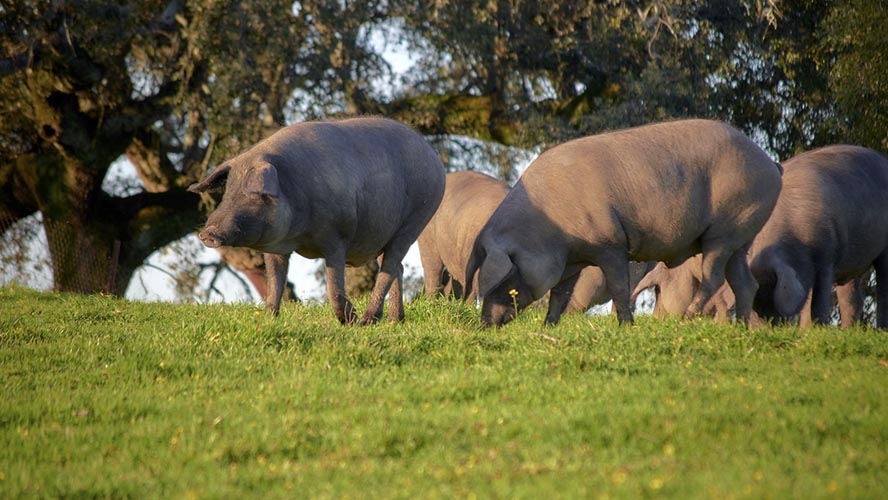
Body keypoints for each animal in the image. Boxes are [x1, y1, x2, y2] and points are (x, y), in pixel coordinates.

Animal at [191, 117, 448, 324]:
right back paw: (394, 321)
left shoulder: (337, 237)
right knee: (397, 267)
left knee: (389, 268)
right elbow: (275, 283)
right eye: (227, 192)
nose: (207, 234)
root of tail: (434, 159)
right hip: (383, 235)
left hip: (414, 221)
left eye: (253, 194)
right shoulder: (276, 247)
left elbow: (334, 286)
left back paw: (366, 322)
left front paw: (349, 321)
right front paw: (267, 319)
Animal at [462, 119, 780, 326]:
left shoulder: (611, 244)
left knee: (713, 276)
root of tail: (771, 164)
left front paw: (626, 326)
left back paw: (688, 319)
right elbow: (559, 295)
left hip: (725, 232)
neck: (550, 229)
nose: (484, 324)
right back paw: (742, 329)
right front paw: (548, 327)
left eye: (506, 281)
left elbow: (618, 288)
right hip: (742, 237)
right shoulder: (570, 261)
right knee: (745, 282)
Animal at [748, 145, 888, 328]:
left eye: (773, 296)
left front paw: (814, 328)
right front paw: (805, 330)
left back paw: (881, 329)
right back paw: (847, 330)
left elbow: (819, 302)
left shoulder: (827, 257)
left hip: (884, 250)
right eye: (755, 308)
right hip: (852, 262)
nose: (763, 329)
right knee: (852, 300)